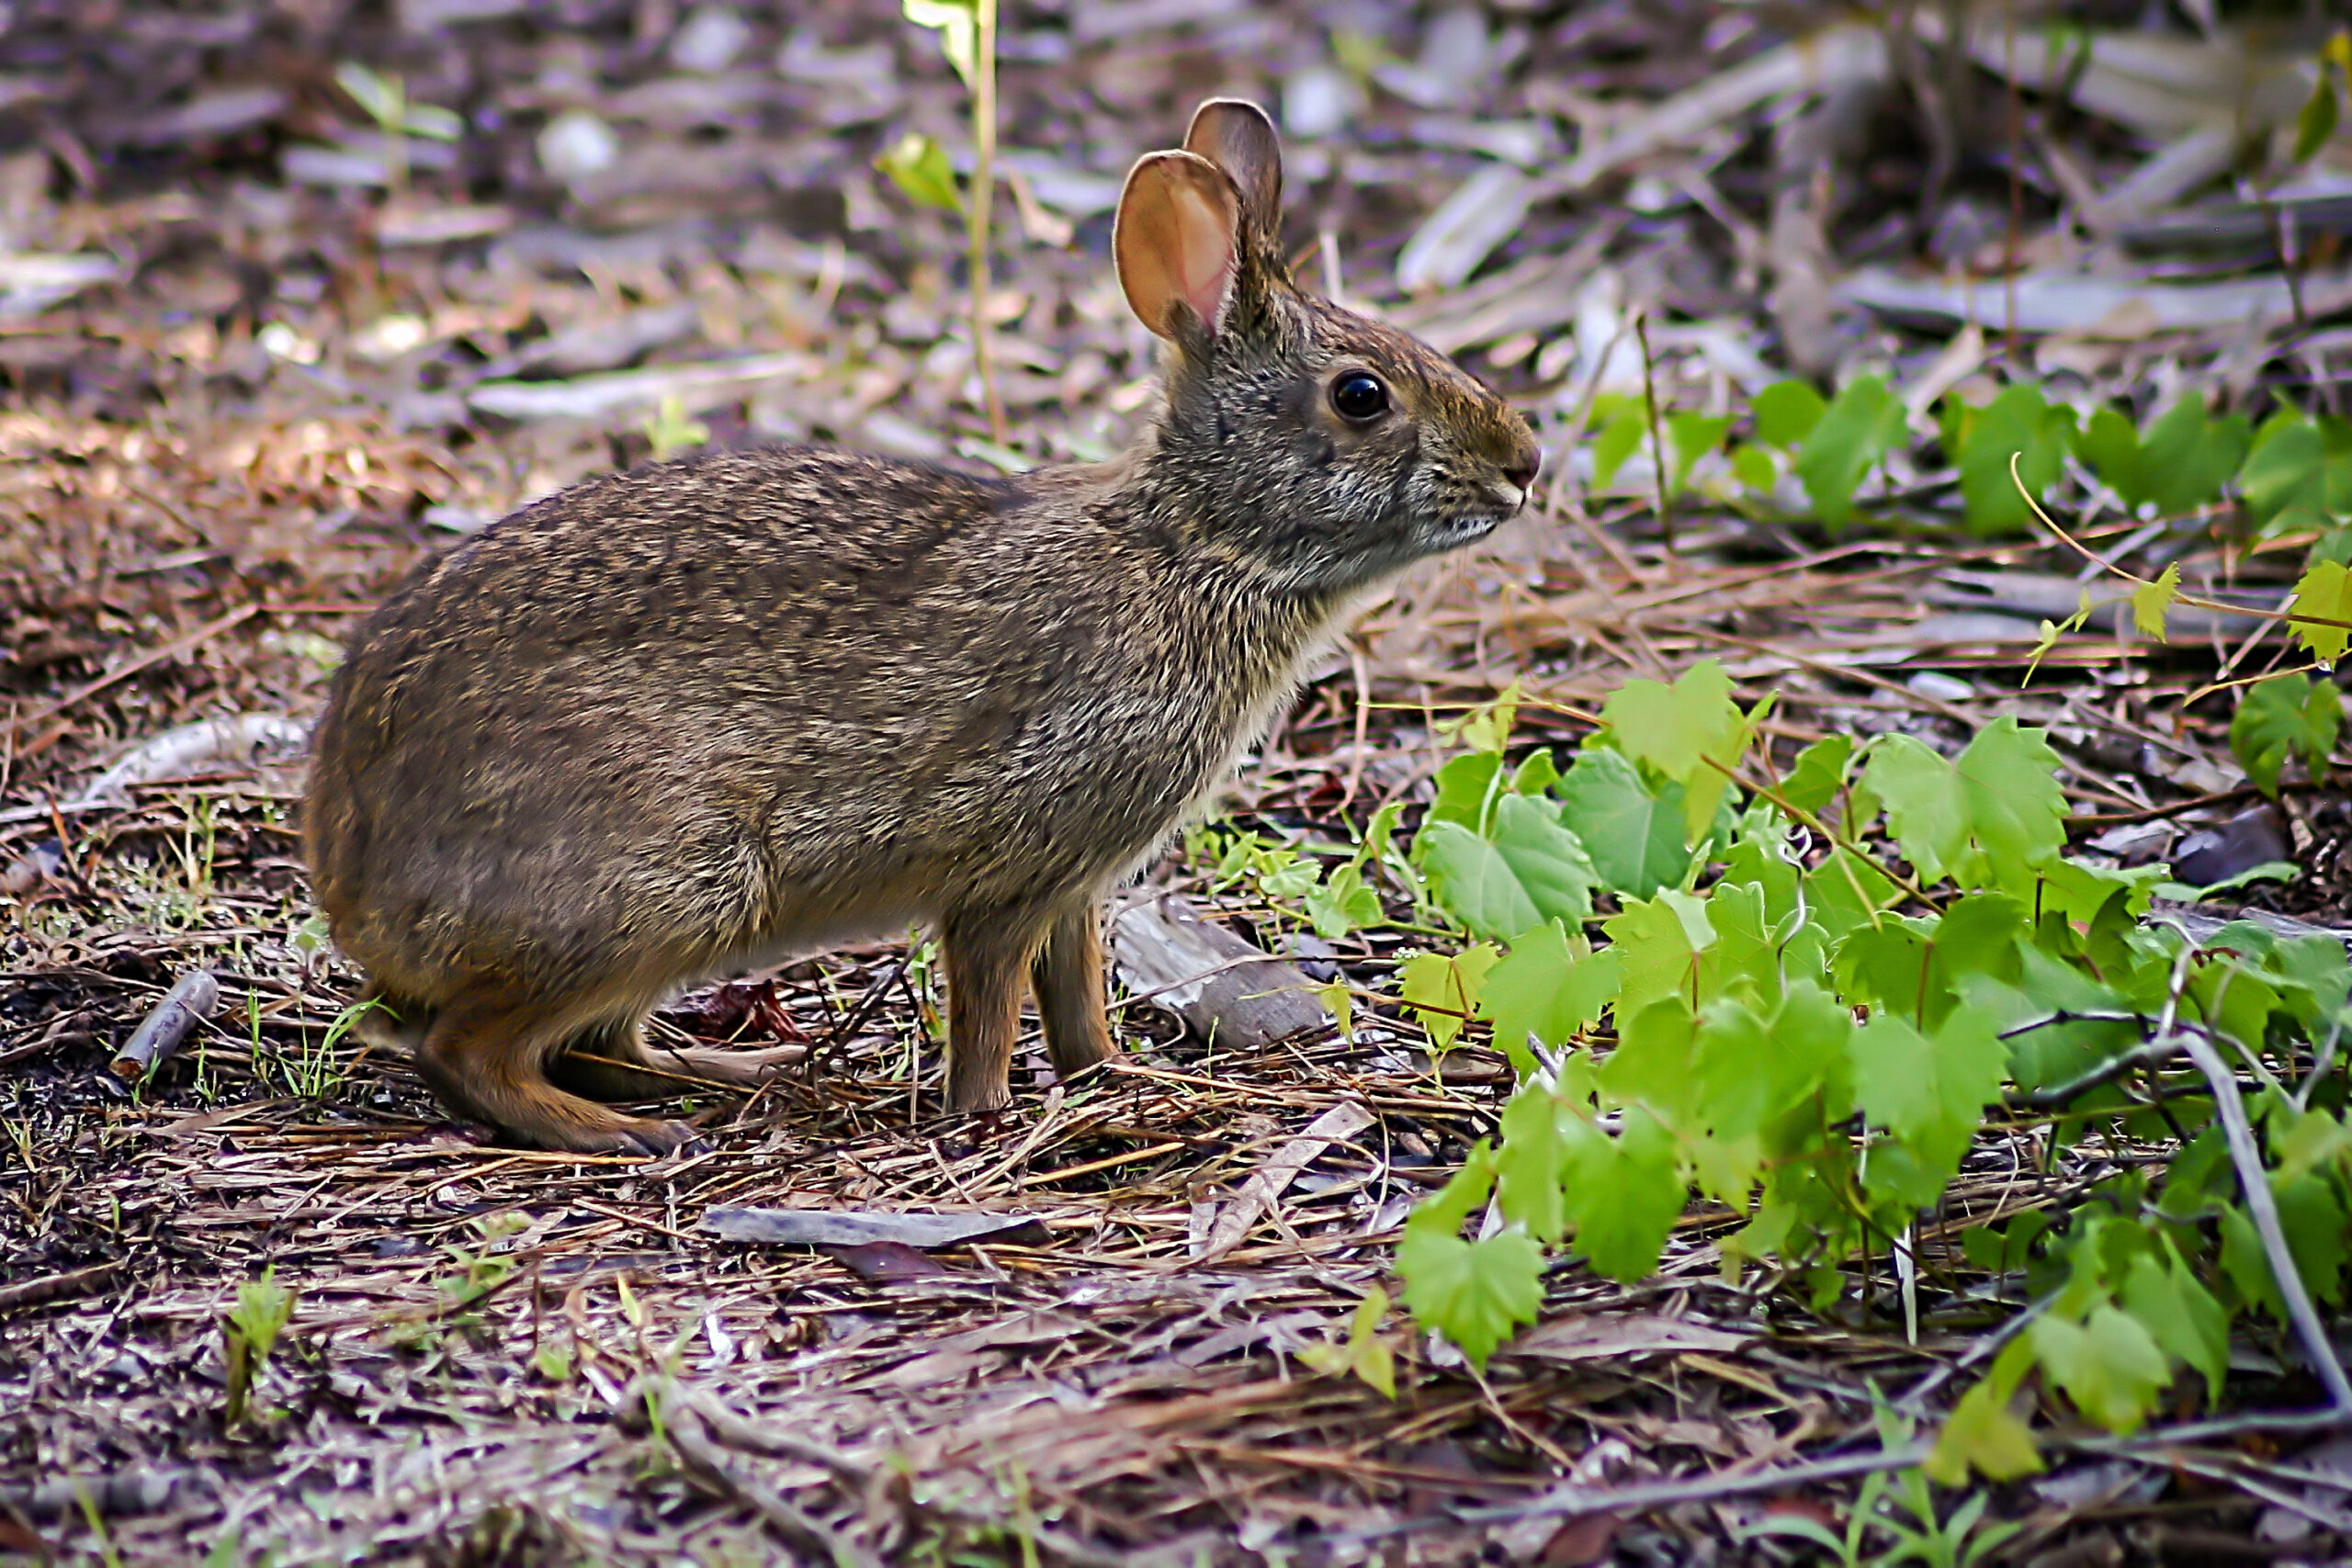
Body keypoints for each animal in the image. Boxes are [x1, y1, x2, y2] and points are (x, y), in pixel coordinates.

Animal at [303, 101, 1543, 1152]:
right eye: (1361, 397)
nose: (1523, 464)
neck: (1194, 546)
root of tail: (347, 870)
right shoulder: (1005, 873)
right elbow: (992, 1006)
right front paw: (989, 1117)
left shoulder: (1076, 887)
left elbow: (1077, 1000)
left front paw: (1123, 1081)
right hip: (668, 884)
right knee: (469, 1049)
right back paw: (625, 1134)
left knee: (600, 1044)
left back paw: (746, 1074)